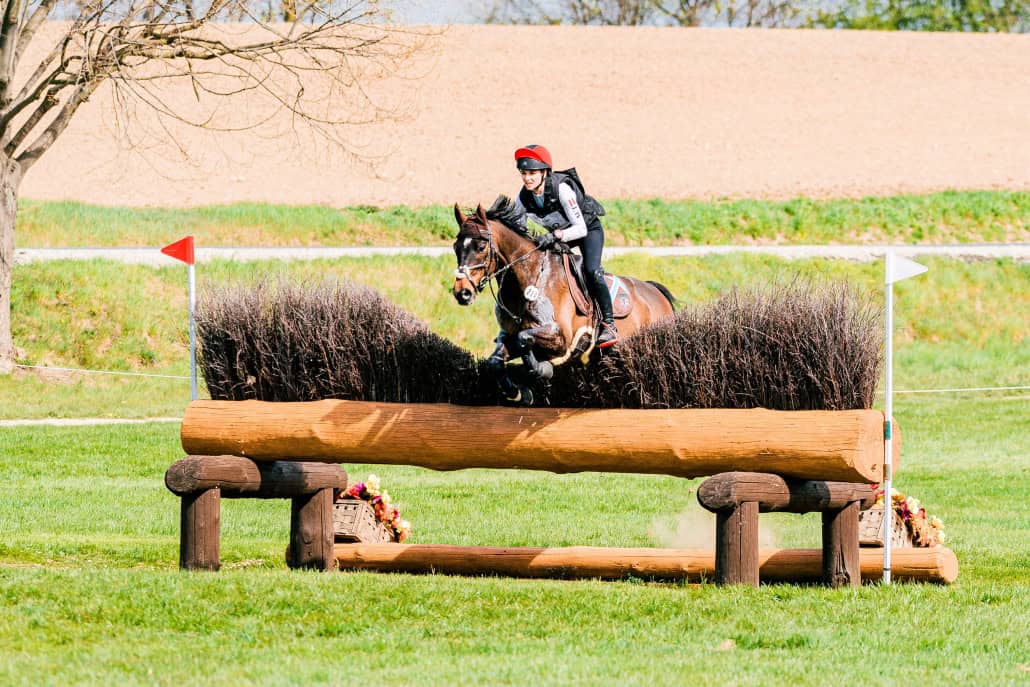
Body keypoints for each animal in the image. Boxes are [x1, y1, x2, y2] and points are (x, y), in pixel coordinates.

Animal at [452, 199, 676, 404]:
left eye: (481, 246)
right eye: (455, 247)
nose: (462, 293)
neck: (529, 278)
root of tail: (655, 291)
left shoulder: (560, 337)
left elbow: (524, 338)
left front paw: (543, 368)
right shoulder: (508, 336)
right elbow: (496, 360)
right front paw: (518, 392)